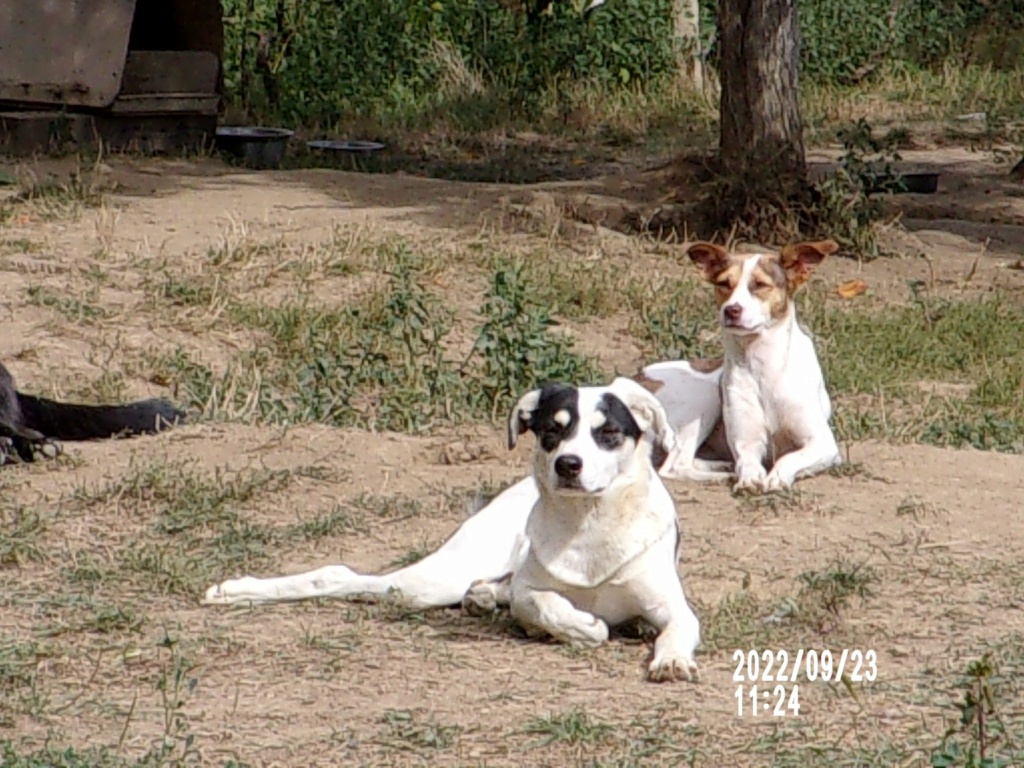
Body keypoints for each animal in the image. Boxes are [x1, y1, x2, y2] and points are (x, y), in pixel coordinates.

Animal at [207, 378, 704, 684]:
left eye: (609, 432)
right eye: (552, 430)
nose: (568, 465)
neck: (589, 525)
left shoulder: (673, 607)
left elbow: (677, 629)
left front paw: (672, 660)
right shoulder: (532, 590)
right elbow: (544, 605)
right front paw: (580, 625)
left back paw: (483, 597)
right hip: (431, 580)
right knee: (340, 576)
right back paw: (236, 590)